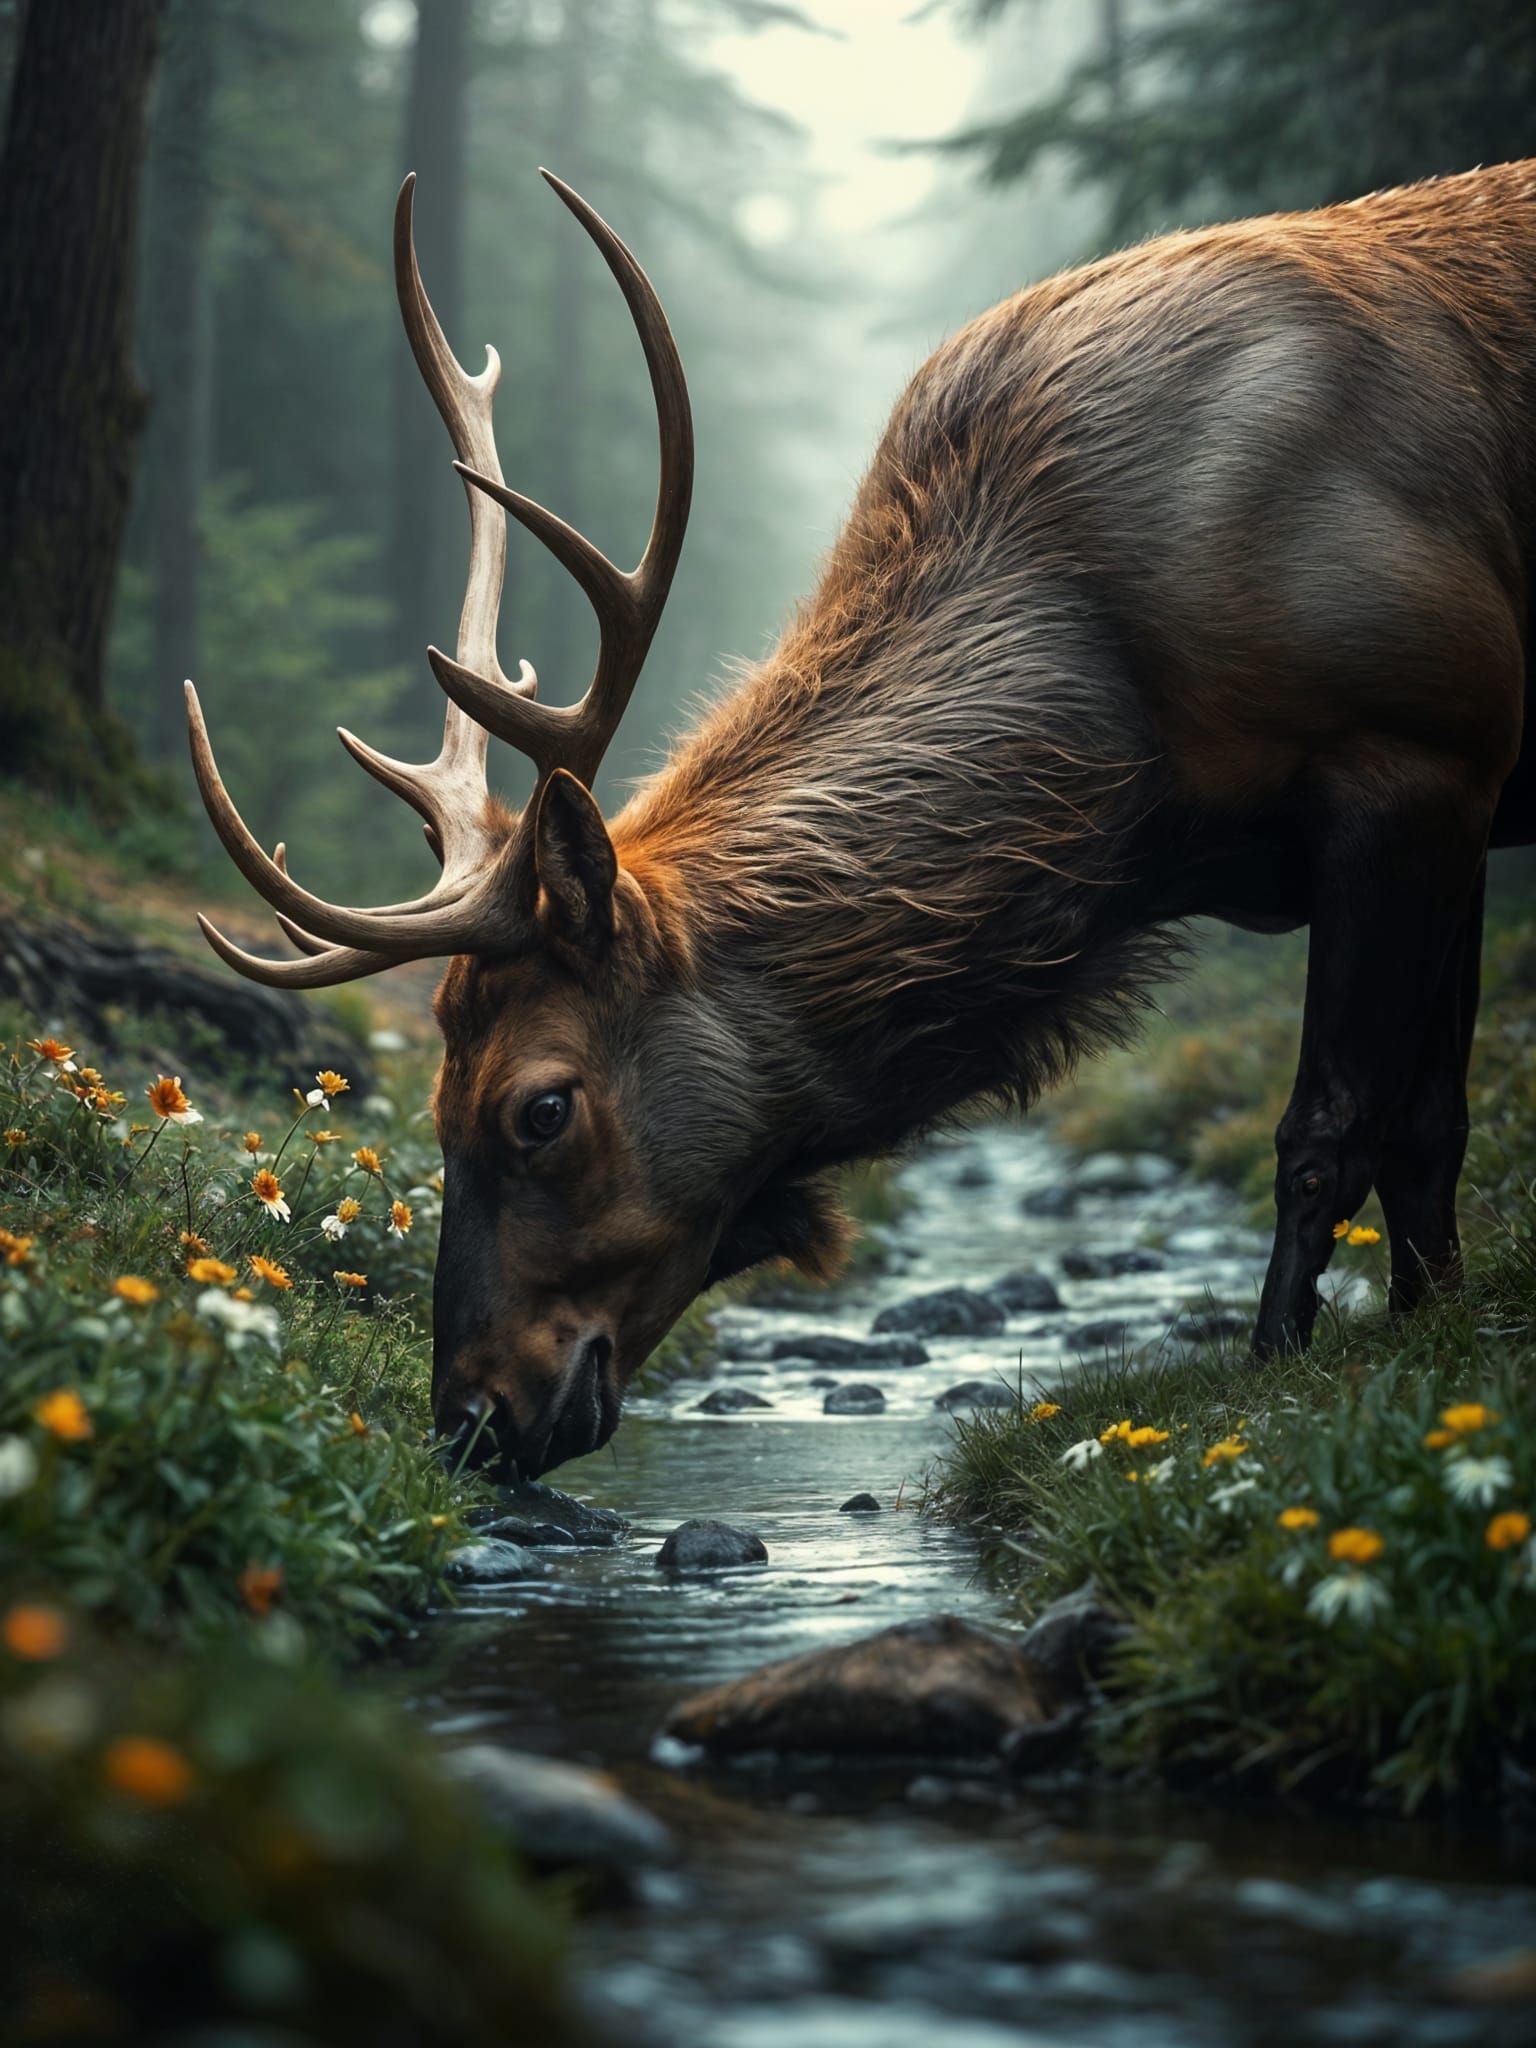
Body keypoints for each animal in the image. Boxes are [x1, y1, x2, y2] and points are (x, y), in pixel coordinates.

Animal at [187, 162, 1536, 1479]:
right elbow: (1432, 1128)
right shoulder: (1462, 794)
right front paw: (1437, 1341)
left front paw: (1275, 1373)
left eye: (541, 1107)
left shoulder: (1415, 745)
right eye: (432, 1108)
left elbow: (1333, 1130)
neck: (1133, 778)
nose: (470, 1418)